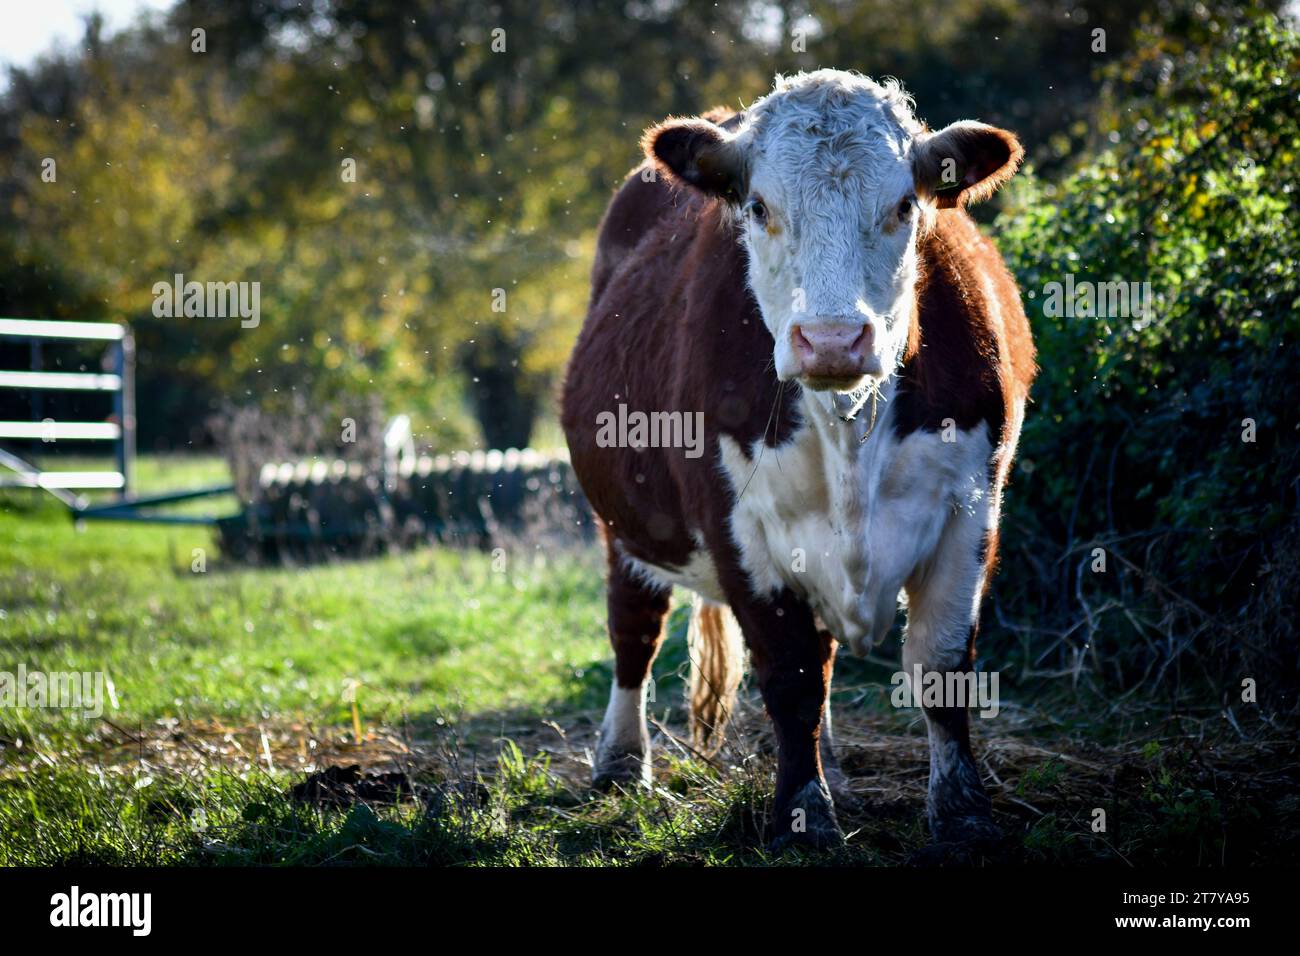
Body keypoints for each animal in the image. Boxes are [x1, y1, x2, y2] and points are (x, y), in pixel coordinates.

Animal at [559, 70, 1034, 848]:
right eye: (759, 207)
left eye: (904, 203)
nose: (833, 339)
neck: (847, 431)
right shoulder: (737, 530)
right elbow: (788, 675)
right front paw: (802, 816)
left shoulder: (972, 510)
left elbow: (940, 667)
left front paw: (962, 812)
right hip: (624, 526)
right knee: (635, 631)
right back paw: (621, 763)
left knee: (825, 655)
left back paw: (834, 765)